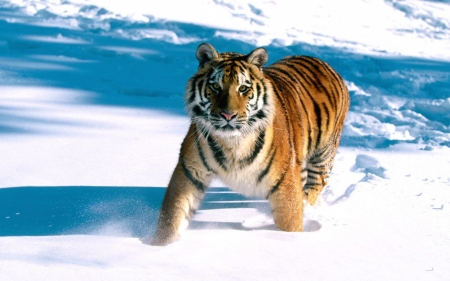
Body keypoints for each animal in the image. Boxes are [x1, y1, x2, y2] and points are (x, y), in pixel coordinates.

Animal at [149, 42, 350, 245]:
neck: (233, 142)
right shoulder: (190, 170)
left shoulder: (285, 182)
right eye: (215, 86)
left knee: (316, 184)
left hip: (323, 154)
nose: (228, 115)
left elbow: (290, 222)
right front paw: (158, 245)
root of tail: (322, 62)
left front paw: (289, 239)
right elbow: (173, 215)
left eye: (243, 89)